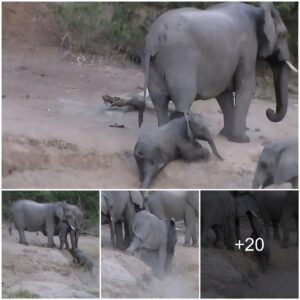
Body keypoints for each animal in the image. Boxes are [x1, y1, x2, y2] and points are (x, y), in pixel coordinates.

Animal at [139, 2, 298, 143]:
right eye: (283, 35)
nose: (268, 111)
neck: (258, 10)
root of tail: (155, 36)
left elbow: (224, 92)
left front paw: (225, 135)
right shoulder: (248, 47)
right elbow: (245, 85)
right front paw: (242, 140)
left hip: (154, 64)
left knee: (159, 101)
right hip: (180, 58)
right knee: (183, 100)